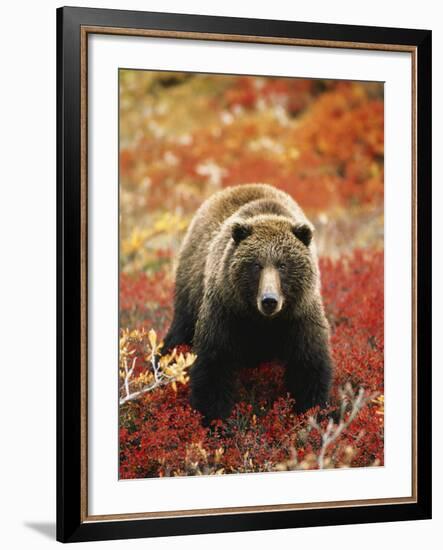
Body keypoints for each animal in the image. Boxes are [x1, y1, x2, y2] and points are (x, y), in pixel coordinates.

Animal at [163, 184, 332, 422]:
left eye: (282, 265)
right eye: (256, 265)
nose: (269, 300)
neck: (262, 321)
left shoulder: (299, 317)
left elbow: (309, 367)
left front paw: (313, 413)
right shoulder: (226, 311)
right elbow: (214, 365)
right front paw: (214, 419)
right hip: (190, 288)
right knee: (179, 332)